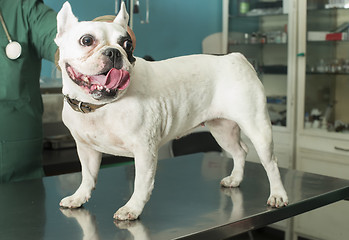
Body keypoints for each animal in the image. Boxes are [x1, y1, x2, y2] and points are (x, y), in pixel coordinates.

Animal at [55, 1, 288, 221]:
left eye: (127, 44)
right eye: (86, 40)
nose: (114, 52)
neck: (102, 106)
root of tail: (236, 57)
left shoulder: (144, 151)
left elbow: (141, 183)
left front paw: (132, 208)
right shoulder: (86, 149)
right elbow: (88, 176)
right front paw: (79, 197)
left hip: (257, 128)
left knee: (271, 162)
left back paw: (278, 194)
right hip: (222, 130)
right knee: (240, 151)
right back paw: (236, 179)